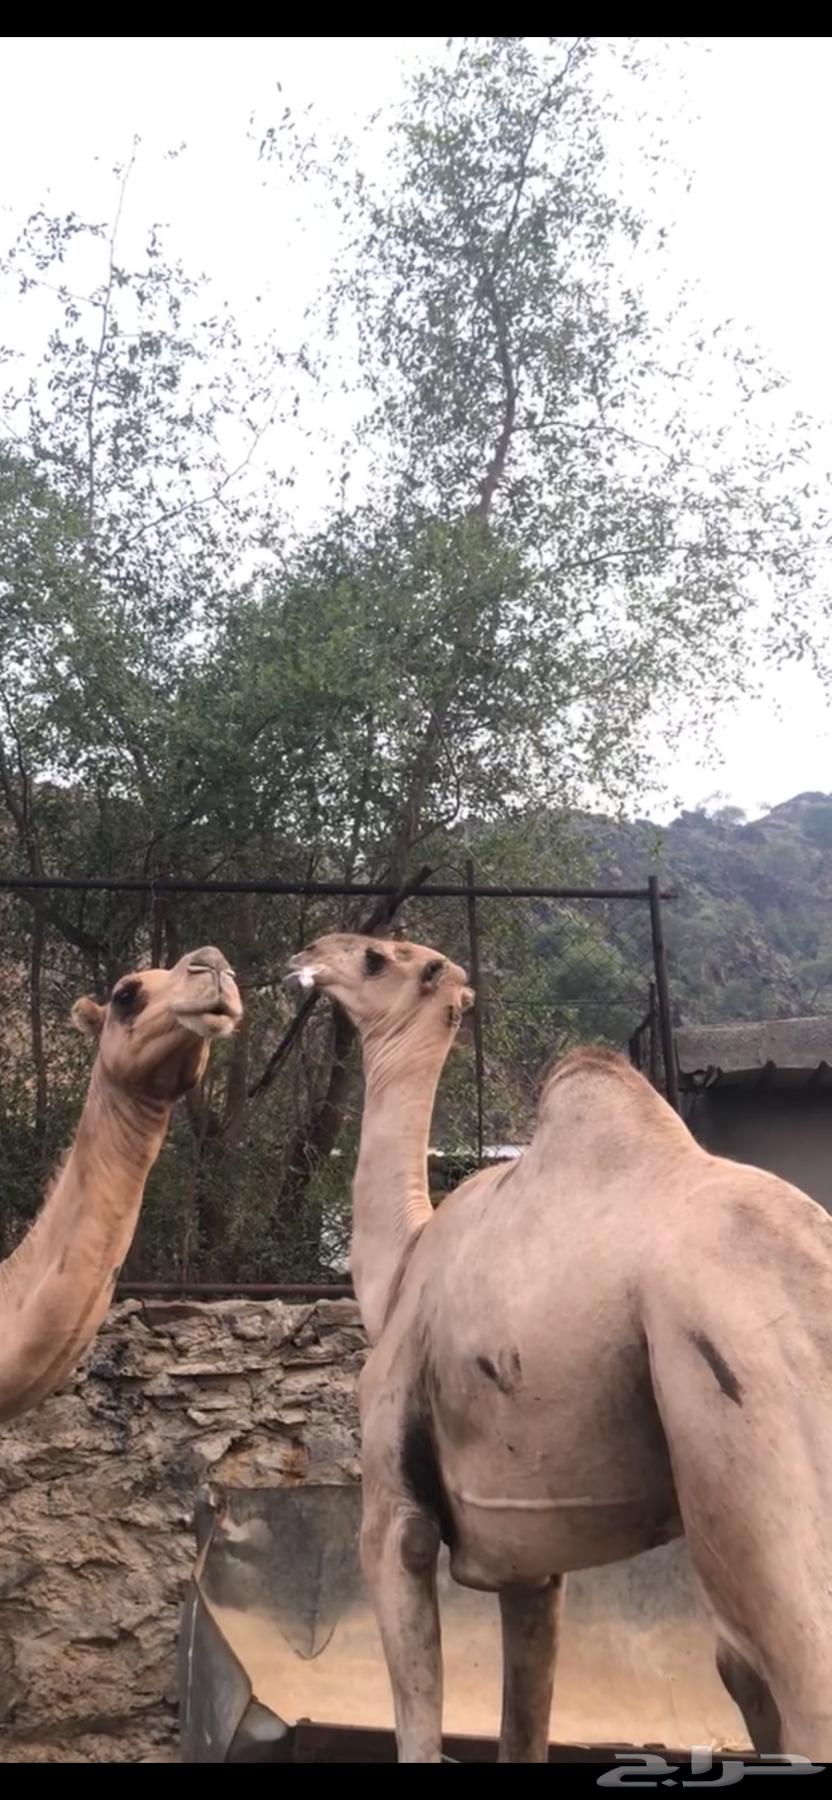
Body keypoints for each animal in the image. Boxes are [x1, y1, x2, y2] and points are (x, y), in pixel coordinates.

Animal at [286, 930, 832, 1763]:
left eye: (379, 957)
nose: (309, 950)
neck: (401, 1266)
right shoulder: (529, 1560)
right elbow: (524, 1722)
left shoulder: (392, 1502)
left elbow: (418, 1721)